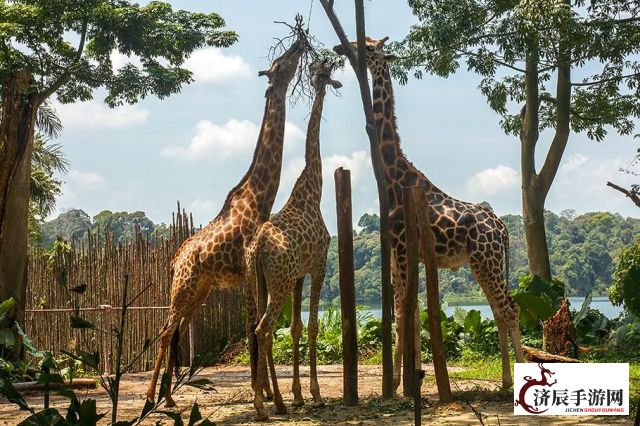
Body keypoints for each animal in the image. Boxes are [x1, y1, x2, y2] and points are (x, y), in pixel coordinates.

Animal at [146, 39, 304, 406]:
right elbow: (252, 328)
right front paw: (263, 392)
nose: (299, 43)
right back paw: (152, 398)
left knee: (176, 330)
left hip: (200, 291)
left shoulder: (254, 272)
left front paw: (270, 393)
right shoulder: (248, 267)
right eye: (280, 63)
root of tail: (174, 260)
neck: (259, 198)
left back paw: (168, 398)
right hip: (184, 287)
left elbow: (259, 328)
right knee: (164, 329)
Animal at [244, 58, 340, 422]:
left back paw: (276, 400)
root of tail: (257, 247)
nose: (321, 77)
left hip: (259, 279)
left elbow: (297, 327)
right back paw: (261, 404)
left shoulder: (299, 274)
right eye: (321, 72)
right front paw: (315, 394)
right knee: (264, 328)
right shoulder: (319, 265)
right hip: (279, 281)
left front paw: (298, 394)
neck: (314, 189)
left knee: (259, 328)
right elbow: (312, 326)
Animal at [332, 36, 524, 390]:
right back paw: (505, 380)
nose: (341, 48)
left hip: (486, 261)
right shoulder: (402, 254)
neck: (394, 178)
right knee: (498, 309)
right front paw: (407, 379)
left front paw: (397, 384)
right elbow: (410, 312)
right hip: (484, 264)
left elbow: (403, 313)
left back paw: (514, 379)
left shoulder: (403, 249)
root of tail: (503, 229)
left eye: (368, 46)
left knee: (510, 309)